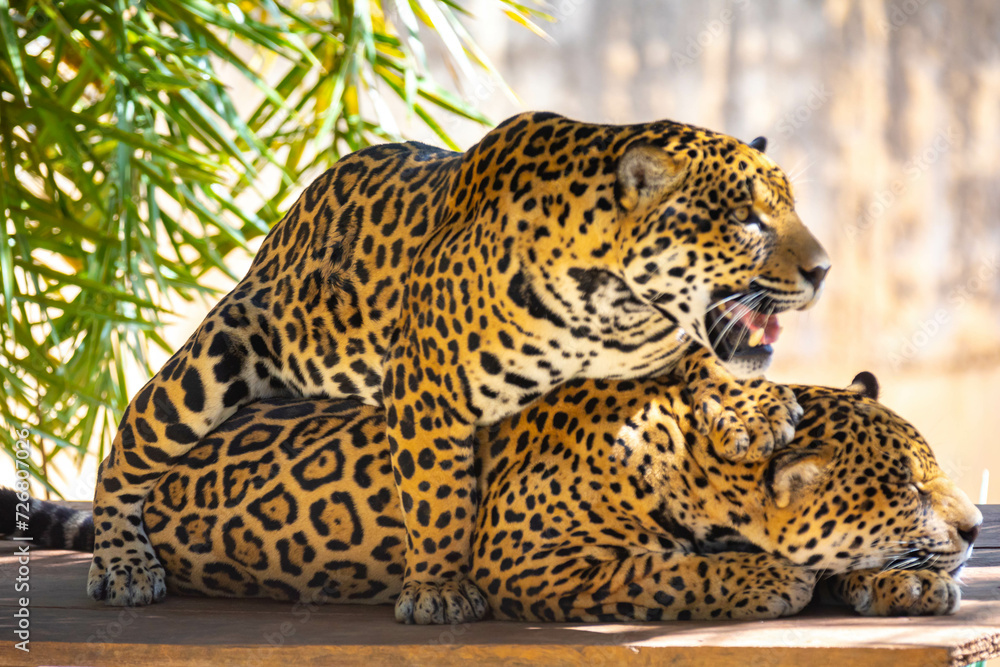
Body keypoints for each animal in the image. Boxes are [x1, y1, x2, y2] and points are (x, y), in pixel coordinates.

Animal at [11, 367, 980, 622]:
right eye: (904, 485)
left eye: (933, 470)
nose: (975, 528)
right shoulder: (536, 561)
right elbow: (664, 571)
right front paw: (765, 579)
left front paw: (908, 581)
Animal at [86, 111, 831, 624]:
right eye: (746, 220)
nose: (823, 270)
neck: (616, 306)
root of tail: (288, 224)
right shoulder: (426, 387)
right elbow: (436, 491)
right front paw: (440, 589)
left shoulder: (660, 351)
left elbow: (708, 361)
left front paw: (752, 408)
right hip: (211, 364)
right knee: (128, 446)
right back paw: (122, 563)